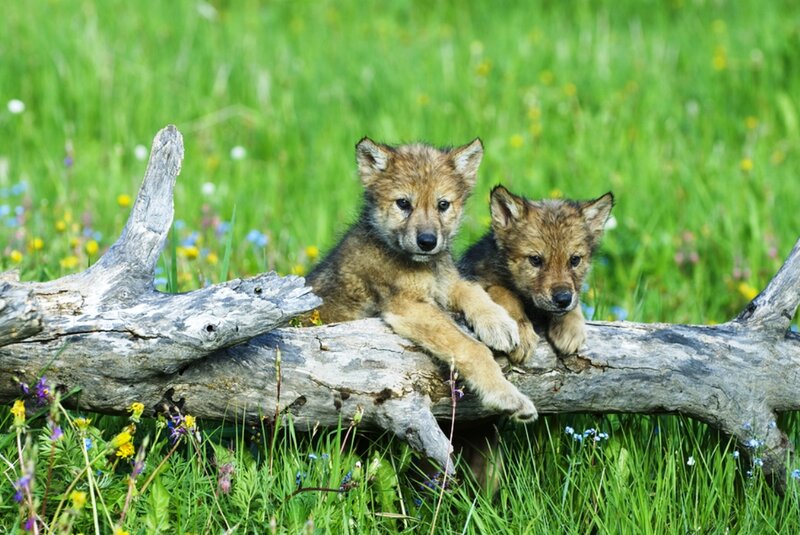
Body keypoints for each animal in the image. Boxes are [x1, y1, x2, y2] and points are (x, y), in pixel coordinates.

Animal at [307, 138, 537, 421]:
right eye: (403, 203)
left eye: (443, 205)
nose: (427, 242)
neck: (424, 265)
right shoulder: (409, 306)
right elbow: (470, 347)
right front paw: (507, 396)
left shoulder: (447, 282)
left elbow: (472, 290)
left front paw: (499, 323)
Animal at [460, 185, 614, 361]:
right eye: (535, 260)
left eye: (574, 260)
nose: (563, 299)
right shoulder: (476, 278)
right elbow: (504, 293)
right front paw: (522, 333)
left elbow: (575, 300)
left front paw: (571, 327)